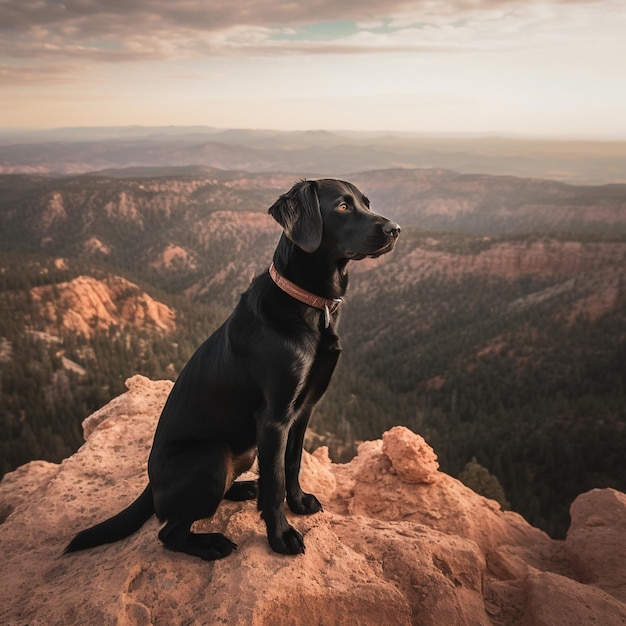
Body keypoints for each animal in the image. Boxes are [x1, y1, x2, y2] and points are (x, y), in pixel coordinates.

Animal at [66, 178, 400, 560]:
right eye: (343, 207)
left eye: (366, 203)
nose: (395, 229)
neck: (308, 304)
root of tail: (150, 487)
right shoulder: (273, 418)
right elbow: (275, 483)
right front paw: (281, 536)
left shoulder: (303, 411)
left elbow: (292, 464)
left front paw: (299, 503)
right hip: (211, 457)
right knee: (169, 532)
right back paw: (211, 543)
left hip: (244, 450)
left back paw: (243, 489)